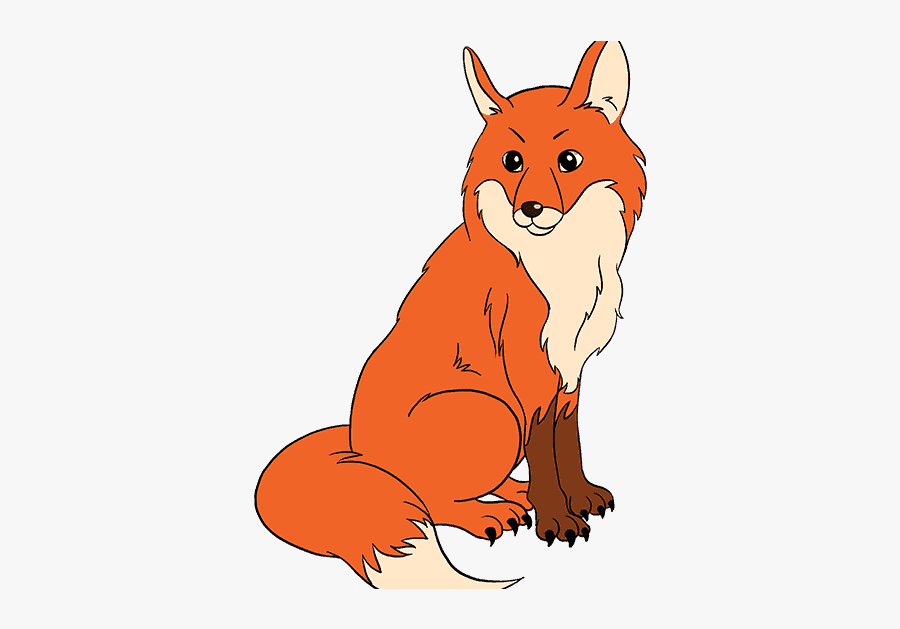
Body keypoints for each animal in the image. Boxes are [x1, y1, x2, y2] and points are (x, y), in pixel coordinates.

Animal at [255, 41, 646, 589]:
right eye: (512, 161)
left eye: (569, 161)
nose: (530, 209)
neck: (561, 263)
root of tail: (356, 445)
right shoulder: (529, 375)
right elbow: (546, 453)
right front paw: (556, 519)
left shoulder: (571, 368)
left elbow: (568, 443)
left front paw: (581, 496)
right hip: (492, 412)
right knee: (427, 499)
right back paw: (489, 513)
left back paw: (514, 494)